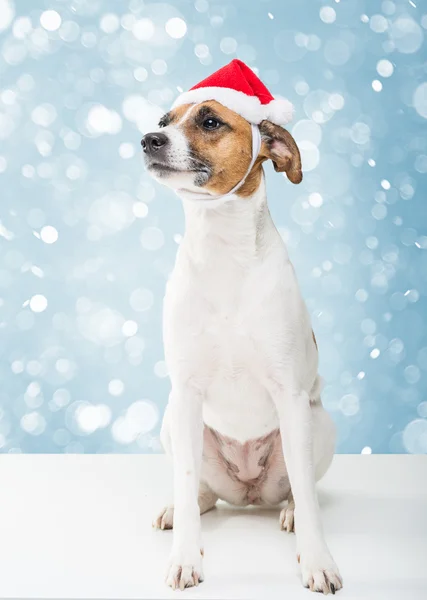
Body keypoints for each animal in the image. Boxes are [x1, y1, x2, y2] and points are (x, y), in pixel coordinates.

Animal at [142, 61, 342, 596]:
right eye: (164, 120)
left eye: (210, 121)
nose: (148, 138)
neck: (223, 251)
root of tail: (249, 493)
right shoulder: (186, 392)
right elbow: (186, 479)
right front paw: (184, 557)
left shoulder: (290, 395)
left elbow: (310, 500)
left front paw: (318, 561)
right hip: (174, 424)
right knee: (200, 491)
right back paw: (181, 507)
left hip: (316, 424)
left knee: (300, 489)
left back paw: (290, 511)